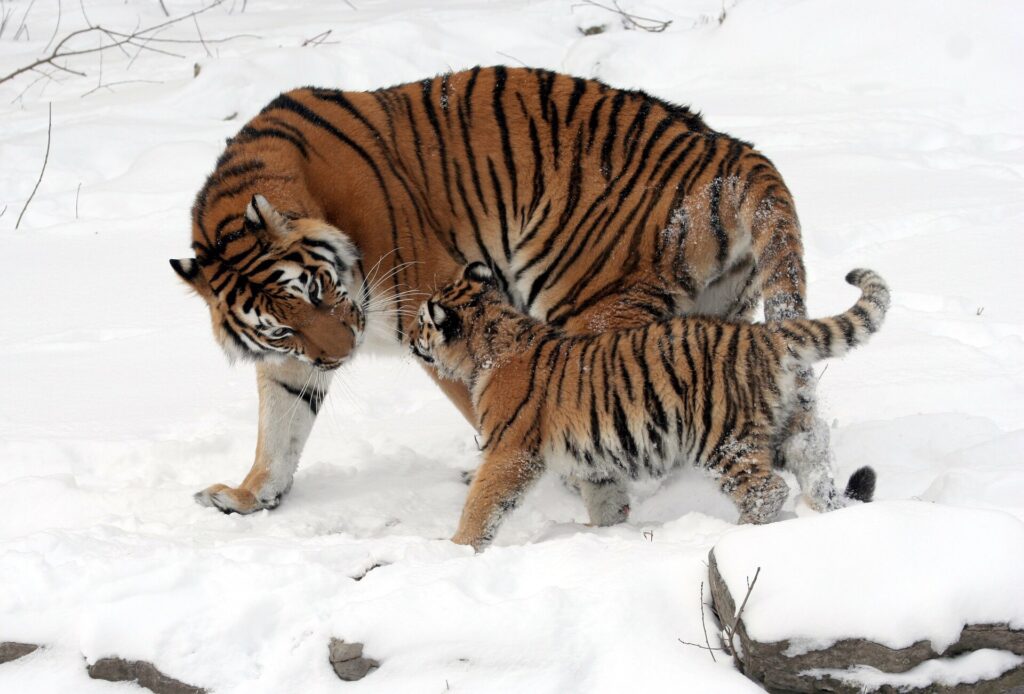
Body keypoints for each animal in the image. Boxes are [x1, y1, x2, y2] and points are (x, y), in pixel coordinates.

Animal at [171, 65, 850, 517]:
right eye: (280, 326)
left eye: (315, 288)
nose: (341, 355)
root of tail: (735, 152)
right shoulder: (294, 359)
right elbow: (280, 425)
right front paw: (248, 496)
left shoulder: (433, 304)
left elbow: (490, 405)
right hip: (720, 312)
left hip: (587, 301)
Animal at [410, 263, 889, 549]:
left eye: (421, 322)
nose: (410, 338)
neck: (491, 342)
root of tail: (764, 334)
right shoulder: (594, 460)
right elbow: (605, 500)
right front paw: (601, 533)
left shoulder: (509, 451)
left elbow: (482, 503)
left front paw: (456, 549)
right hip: (789, 429)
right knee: (816, 470)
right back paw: (828, 517)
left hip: (723, 439)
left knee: (767, 490)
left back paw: (734, 537)